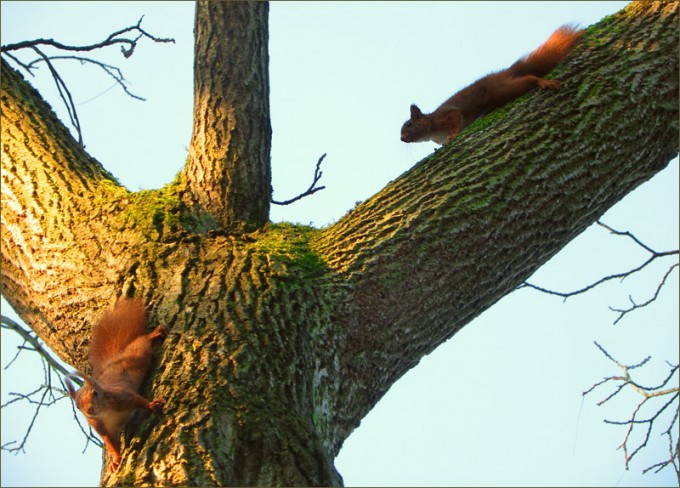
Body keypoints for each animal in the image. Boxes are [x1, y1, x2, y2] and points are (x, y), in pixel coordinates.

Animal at [64, 299, 167, 472]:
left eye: (95, 393)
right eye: (77, 406)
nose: (90, 410)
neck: (105, 412)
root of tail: (115, 357)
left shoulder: (121, 397)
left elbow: (138, 400)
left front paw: (152, 404)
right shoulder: (102, 428)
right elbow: (111, 444)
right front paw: (116, 460)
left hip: (137, 355)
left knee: (142, 342)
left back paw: (154, 333)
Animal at [400, 24, 583, 145]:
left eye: (409, 124)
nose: (401, 139)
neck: (431, 129)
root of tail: (502, 74)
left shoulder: (446, 116)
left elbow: (456, 120)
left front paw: (453, 135)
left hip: (501, 90)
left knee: (528, 79)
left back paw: (542, 81)